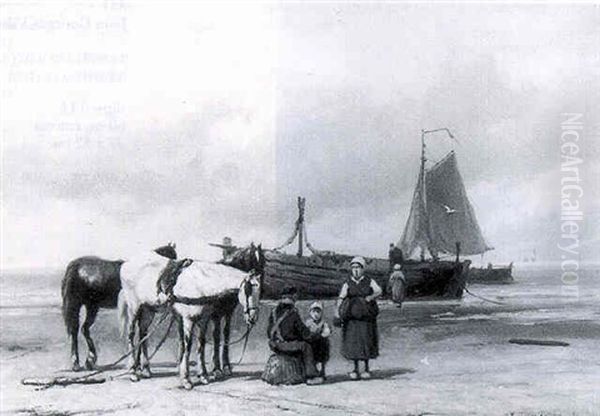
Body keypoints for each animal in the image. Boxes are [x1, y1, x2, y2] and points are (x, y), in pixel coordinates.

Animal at [119, 250, 260, 390]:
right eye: (248, 290)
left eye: (259, 291)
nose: (253, 317)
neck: (201, 284)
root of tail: (126, 264)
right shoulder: (189, 319)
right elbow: (188, 345)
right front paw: (186, 379)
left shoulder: (204, 320)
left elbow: (201, 344)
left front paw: (203, 375)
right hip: (134, 307)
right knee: (131, 334)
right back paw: (133, 372)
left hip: (149, 310)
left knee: (143, 335)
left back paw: (146, 370)